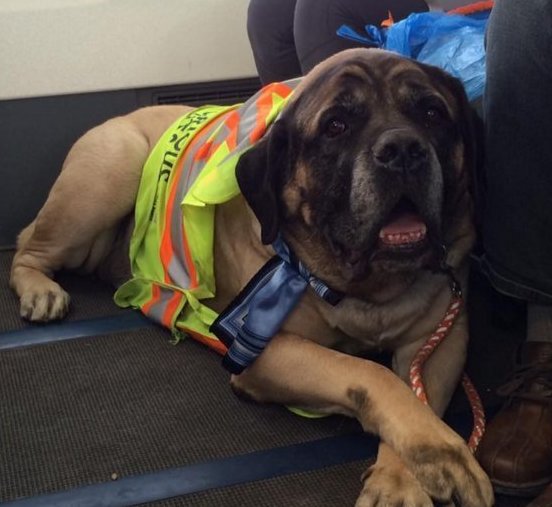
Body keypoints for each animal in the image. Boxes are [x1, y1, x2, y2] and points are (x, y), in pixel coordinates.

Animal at [9, 48, 492, 507]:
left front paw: (401, 476)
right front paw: (438, 452)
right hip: (108, 174)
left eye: (432, 113)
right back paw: (40, 290)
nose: (403, 148)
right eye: (336, 125)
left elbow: (417, 393)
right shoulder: (262, 351)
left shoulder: (439, 341)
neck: (366, 290)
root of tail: (122, 118)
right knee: (28, 246)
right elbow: (372, 375)